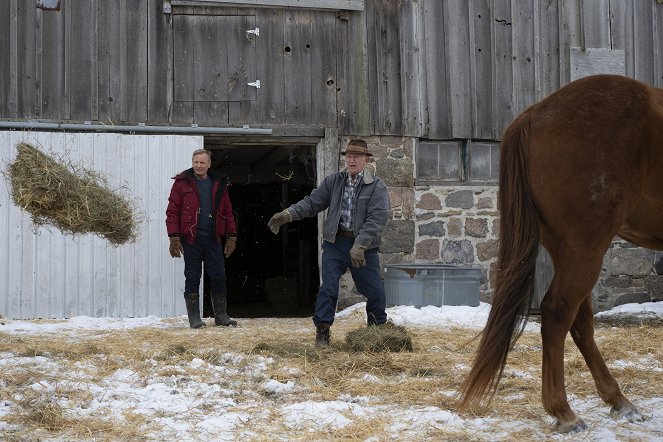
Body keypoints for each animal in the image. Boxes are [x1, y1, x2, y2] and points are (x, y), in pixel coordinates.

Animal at [460, 75, 663, 432]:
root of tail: (533, 116)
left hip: (568, 249)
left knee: (578, 321)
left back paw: (618, 400)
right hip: (586, 247)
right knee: (558, 313)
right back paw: (564, 411)